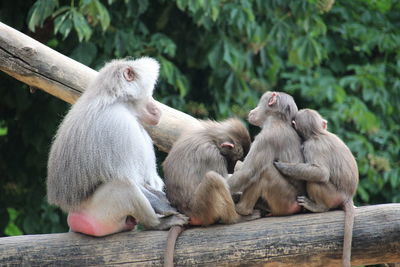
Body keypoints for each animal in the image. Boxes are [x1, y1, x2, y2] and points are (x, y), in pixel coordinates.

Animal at [46, 57, 187, 238]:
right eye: (150, 95)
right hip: (96, 213)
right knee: (125, 186)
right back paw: (159, 223)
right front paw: (167, 206)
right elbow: (131, 178)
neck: (117, 101)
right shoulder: (119, 126)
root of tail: (72, 218)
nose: (158, 109)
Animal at [274, 108, 358, 267]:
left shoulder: (310, 146)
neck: (319, 133)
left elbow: (321, 173)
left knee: (314, 181)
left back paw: (318, 207)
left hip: (333, 195)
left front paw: (284, 167)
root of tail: (348, 196)